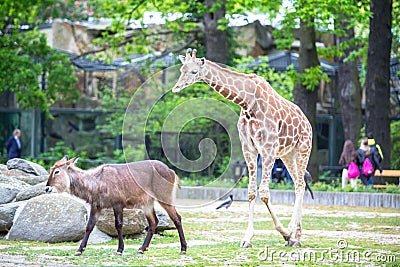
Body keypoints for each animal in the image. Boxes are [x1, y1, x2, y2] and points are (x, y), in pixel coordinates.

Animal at [45, 156, 188, 256]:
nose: (47, 188)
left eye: (57, 171)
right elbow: (89, 226)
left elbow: (118, 225)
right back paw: (142, 249)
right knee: (154, 221)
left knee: (177, 218)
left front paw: (120, 249)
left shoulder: (117, 204)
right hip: (147, 203)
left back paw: (183, 249)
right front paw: (79, 250)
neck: (97, 182)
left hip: (164, 198)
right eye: (51, 170)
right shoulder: (96, 206)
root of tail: (171, 171)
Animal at [172, 49, 312, 248]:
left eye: (193, 71)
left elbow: (264, 193)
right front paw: (247, 238)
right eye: (181, 70)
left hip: (303, 149)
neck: (247, 103)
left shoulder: (268, 148)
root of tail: (307, 122)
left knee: (300, 184)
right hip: (287, 154)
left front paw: (285, 233)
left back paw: (294, 235)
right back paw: (296, 236)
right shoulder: (249, 148)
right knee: (299, 184)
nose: (176, 88)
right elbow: (252, 192)